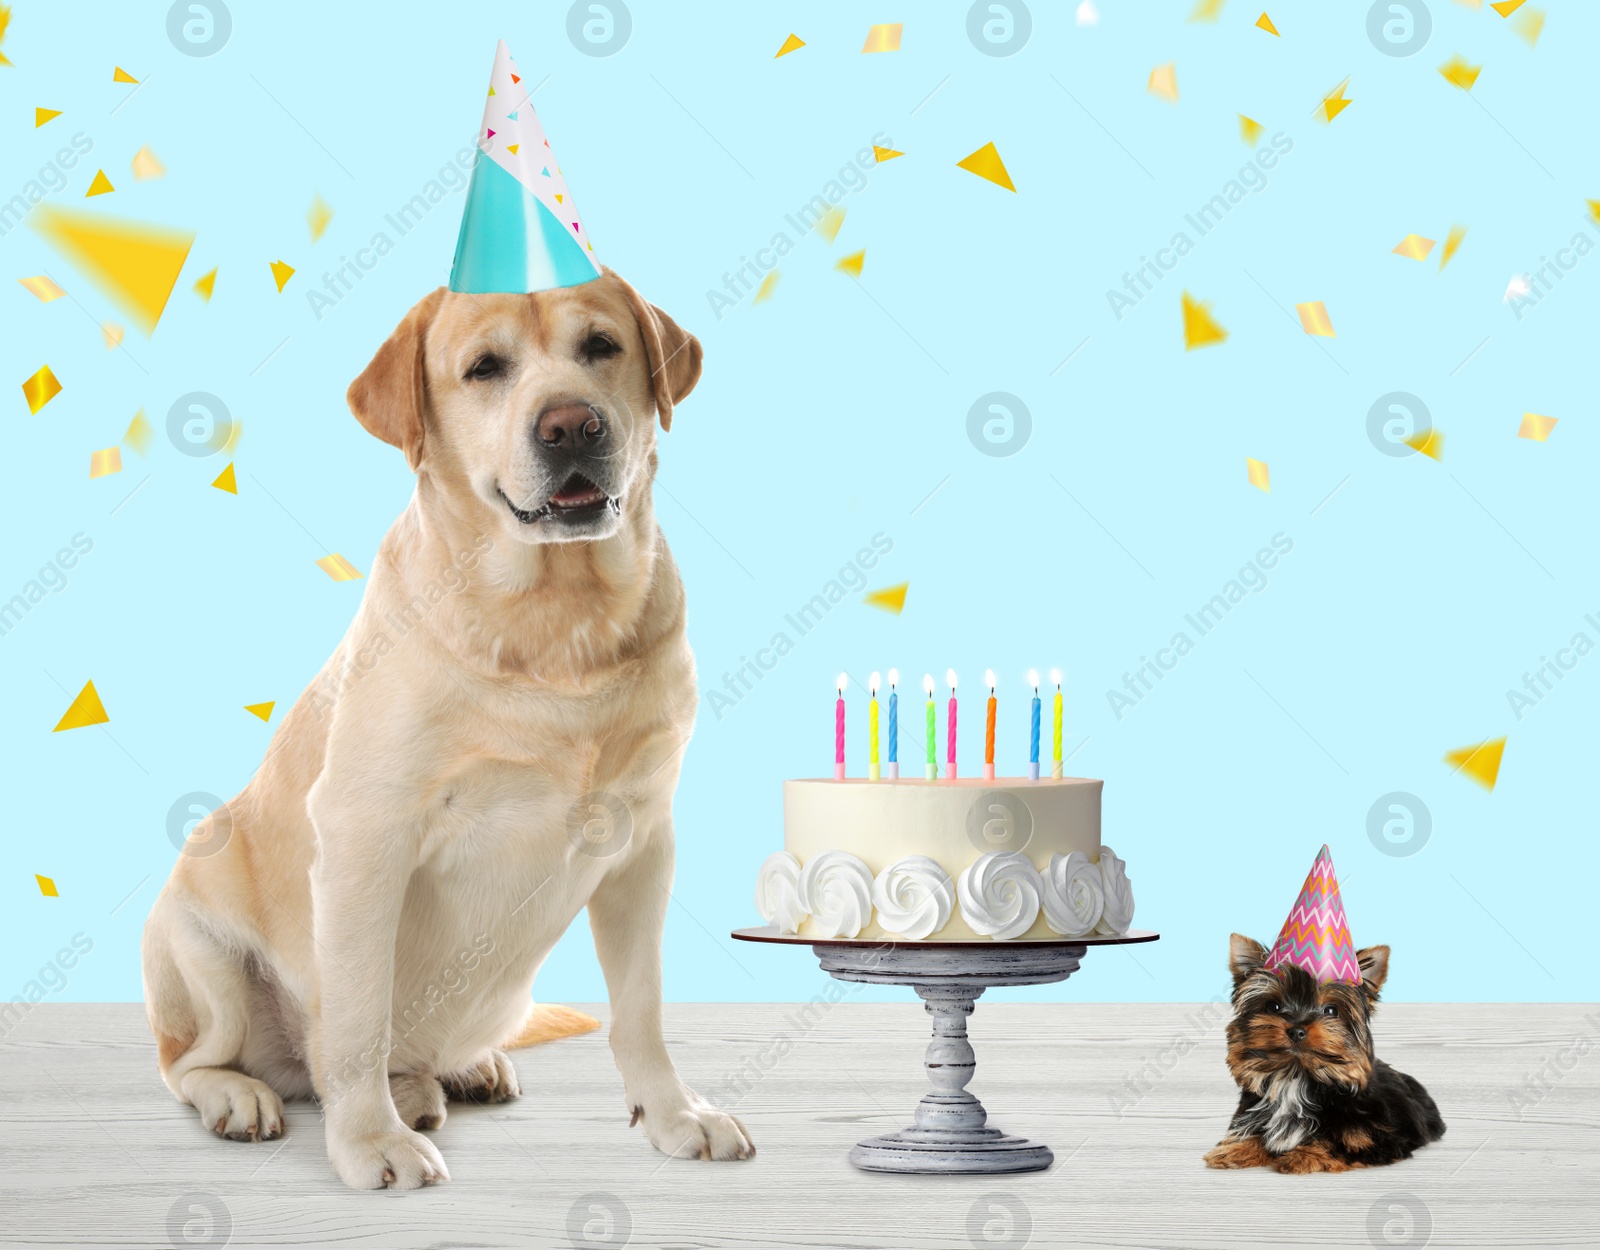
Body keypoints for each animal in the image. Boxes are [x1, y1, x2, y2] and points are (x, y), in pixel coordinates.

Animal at [144, 268, 755, 1184]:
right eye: (484, 369)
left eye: (602, 346)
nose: (572, 424)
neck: (556, 623)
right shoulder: (367, 838)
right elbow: (358, 1017)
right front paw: (370, 1141)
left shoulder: (643, 844)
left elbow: (641, 1011)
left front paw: (675, 1114)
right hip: (199, 935)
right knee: (199, 1061)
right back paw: (245, 1095)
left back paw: (449, 1076)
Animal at [1203, 934, 1446, 1171]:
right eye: (1273, 1006)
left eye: (1330, 1010)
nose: (1297, 1030)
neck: (1296, 1076)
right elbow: (1254, 1133)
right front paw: (1234, 1149)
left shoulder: (1379, 1137)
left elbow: (1342, 1142)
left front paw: (1303, 1156)